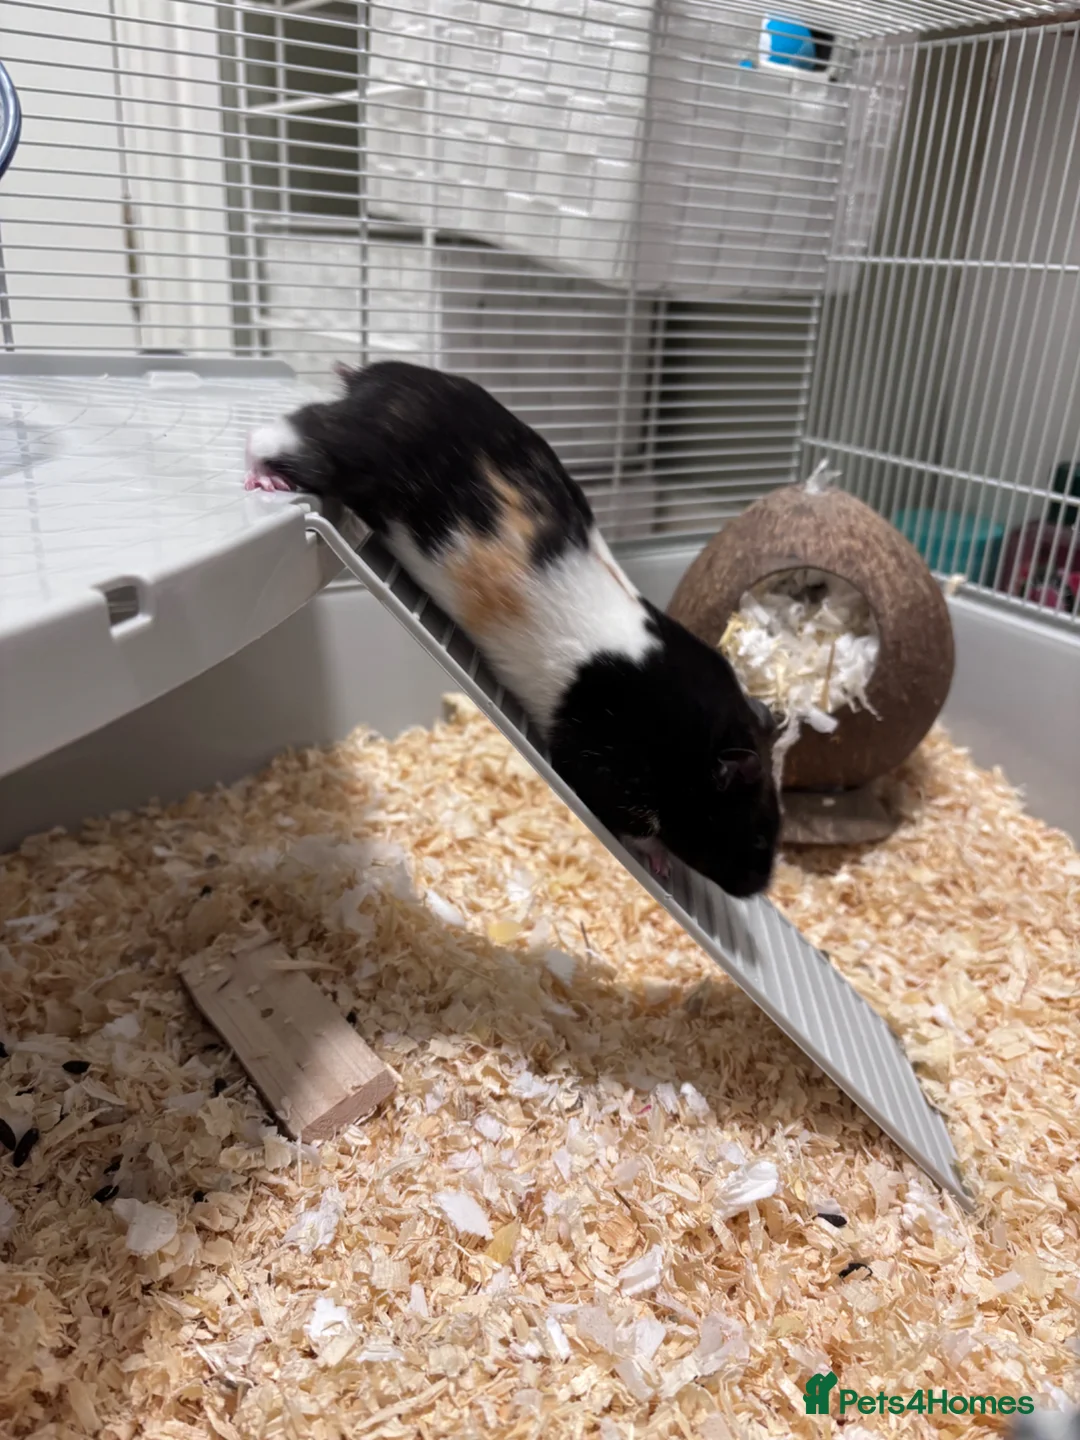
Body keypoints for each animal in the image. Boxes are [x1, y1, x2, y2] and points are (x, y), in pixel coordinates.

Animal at [246, 360, 780, 898]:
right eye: (757, 834)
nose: (757, 888)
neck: (697, 737)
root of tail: (375, 375)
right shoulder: (604, 762)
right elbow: (636, 823)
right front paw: (661, 862)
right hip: (348, 451)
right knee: (282, 433)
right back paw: (260, 480)